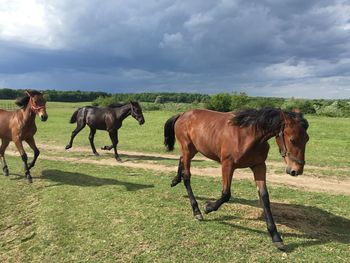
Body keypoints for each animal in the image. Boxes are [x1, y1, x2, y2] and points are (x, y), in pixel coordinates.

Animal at [164, 106, 308, 250]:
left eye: (307, 139)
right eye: (292, 140)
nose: (296, 170)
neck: (247, 135)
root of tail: (182, 114)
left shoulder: (259, 166)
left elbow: (264, 197)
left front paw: (276, 237)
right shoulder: (227, 165)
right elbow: (226, 194)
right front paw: (208, 208)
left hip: (193, 149)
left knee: (181, 160)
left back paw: (175, 180)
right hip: (187, 148)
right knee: (187, 176)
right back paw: (196, 211)